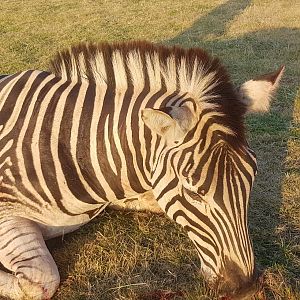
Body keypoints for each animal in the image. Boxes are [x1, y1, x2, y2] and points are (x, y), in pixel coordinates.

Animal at [0, 40, 284, 300]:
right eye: (193, 193)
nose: (245, 289)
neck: (75, 145)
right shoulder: (7, 214)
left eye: (251, 179)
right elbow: (38, 283)